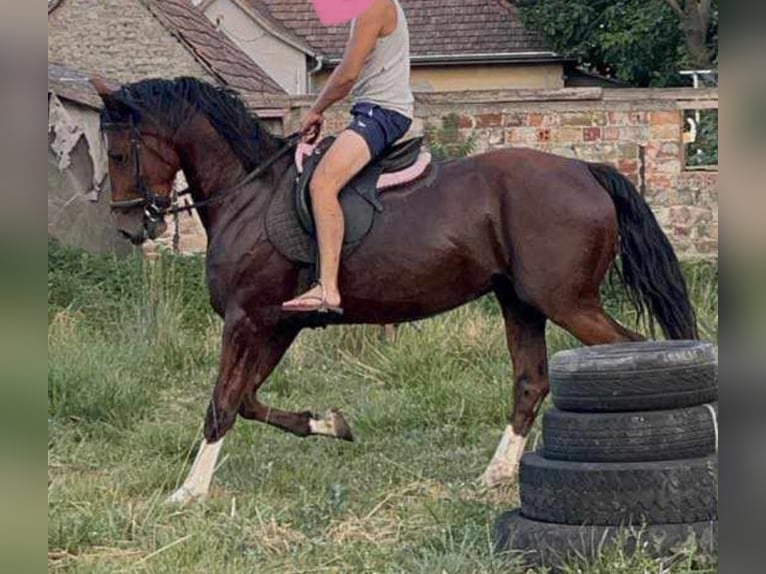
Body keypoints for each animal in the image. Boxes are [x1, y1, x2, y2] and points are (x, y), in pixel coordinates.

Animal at [93, 75, 700, 504]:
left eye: (119, 154)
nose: (128, 227)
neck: (250, 194)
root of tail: (587, 171)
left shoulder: (248, 318)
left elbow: (222, 403)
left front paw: (189, 492)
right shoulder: (277, 323)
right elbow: (245, 400)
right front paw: (329, 423)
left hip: (567, 302)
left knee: (631, 352)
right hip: (521, 302)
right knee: (530, 383)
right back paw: (495, 474)